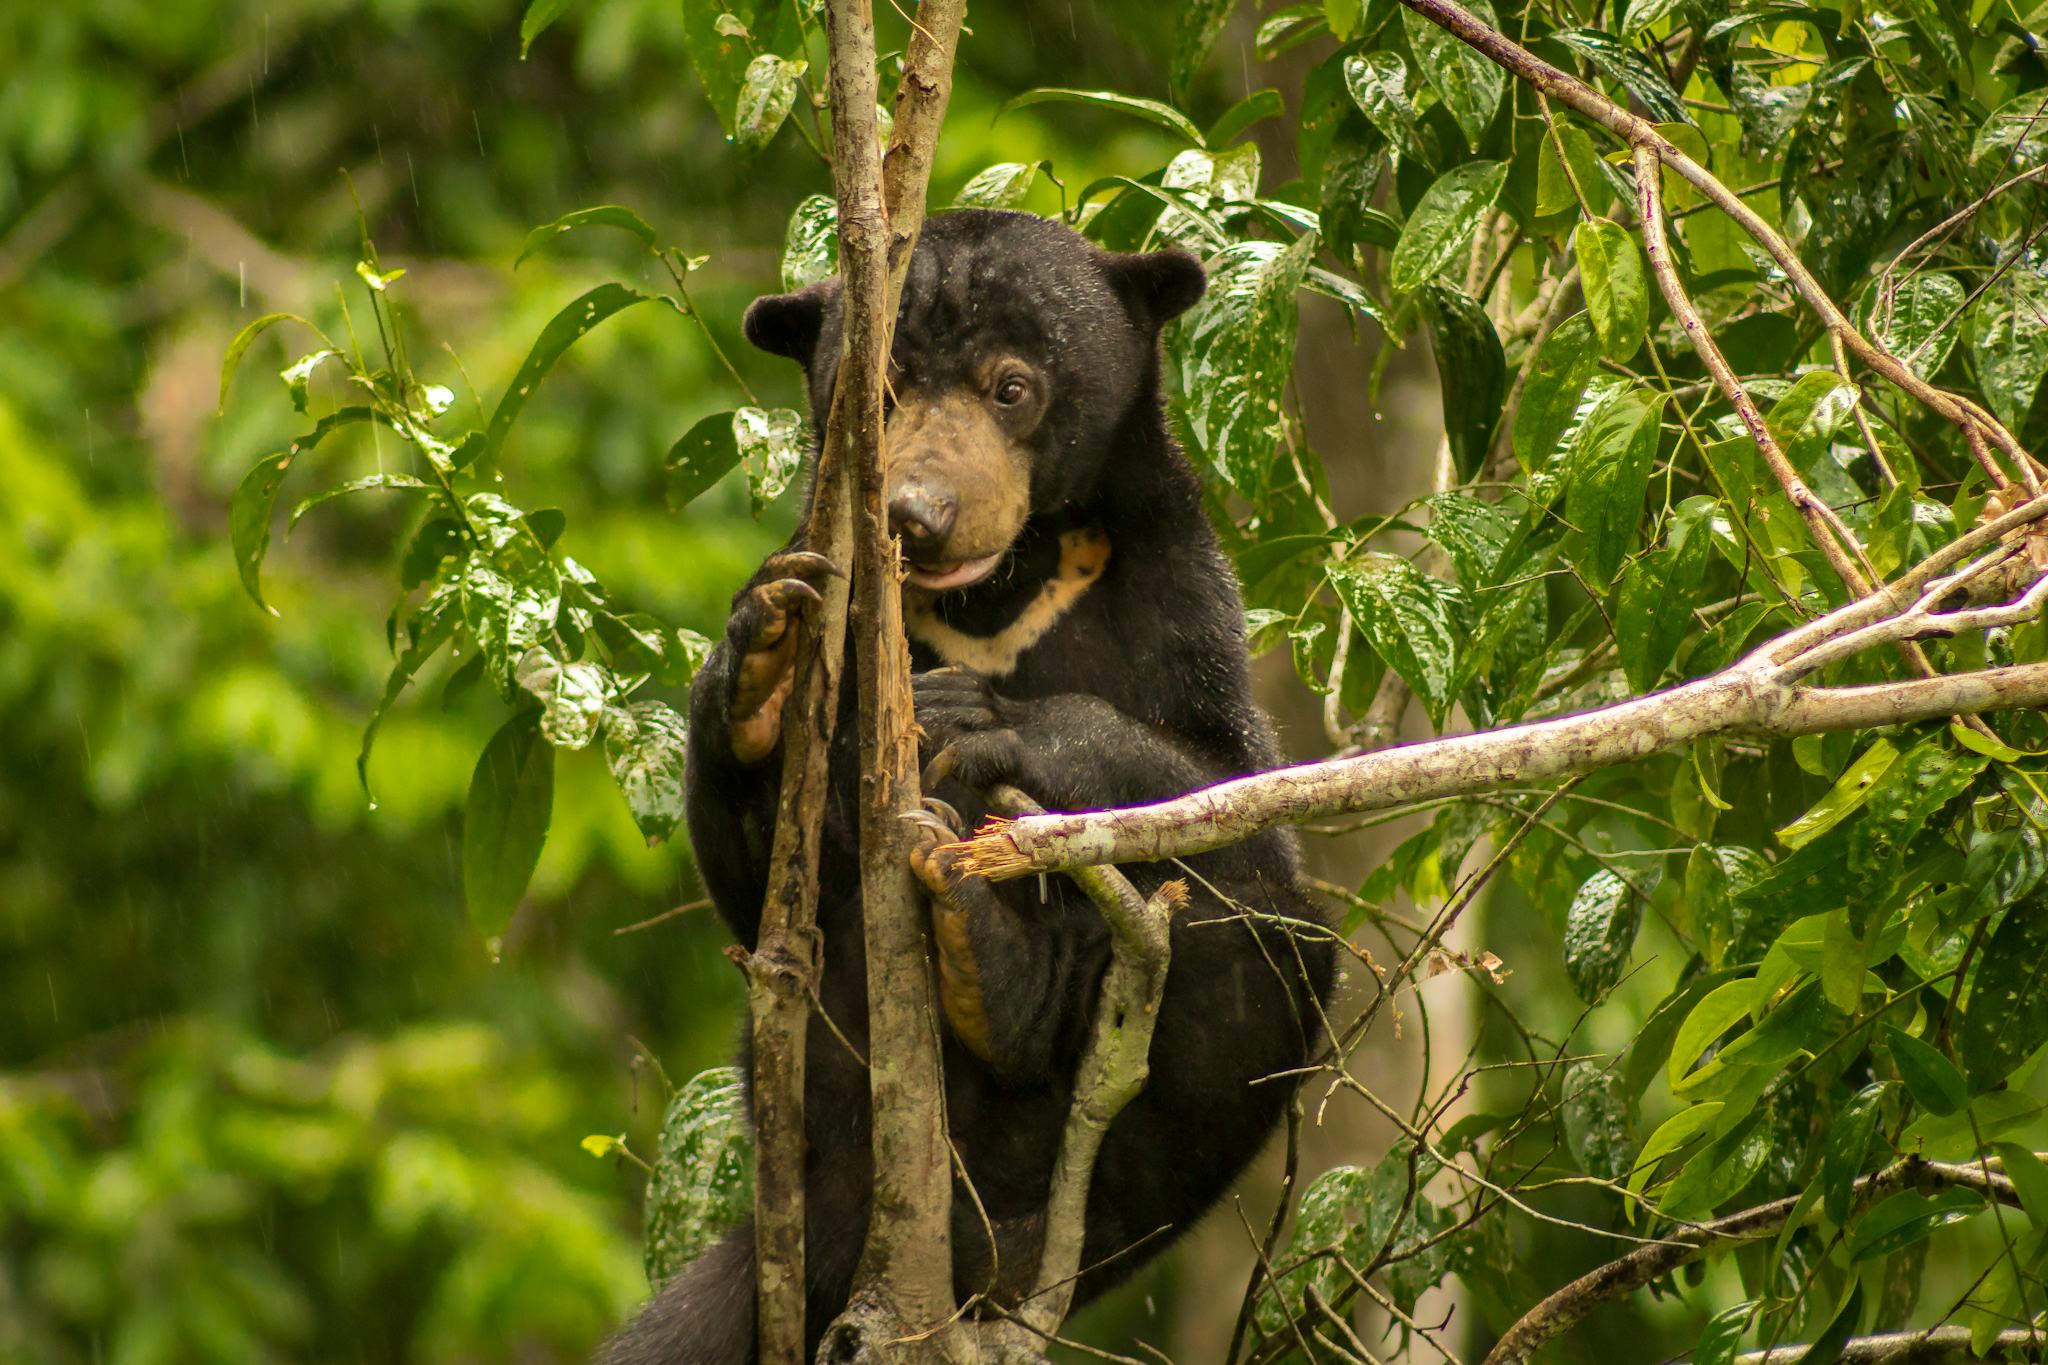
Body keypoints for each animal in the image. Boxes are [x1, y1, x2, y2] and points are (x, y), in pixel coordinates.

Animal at [602, 210, 1343, 1365]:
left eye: (1012, 386)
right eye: (883, 391)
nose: (918, 514)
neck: (997, 596)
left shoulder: (1178, 595)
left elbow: (1240, 797)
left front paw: (981, 720)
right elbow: (765, 890)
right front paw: (764, 657)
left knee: (1266, 942)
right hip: (817, 1112)